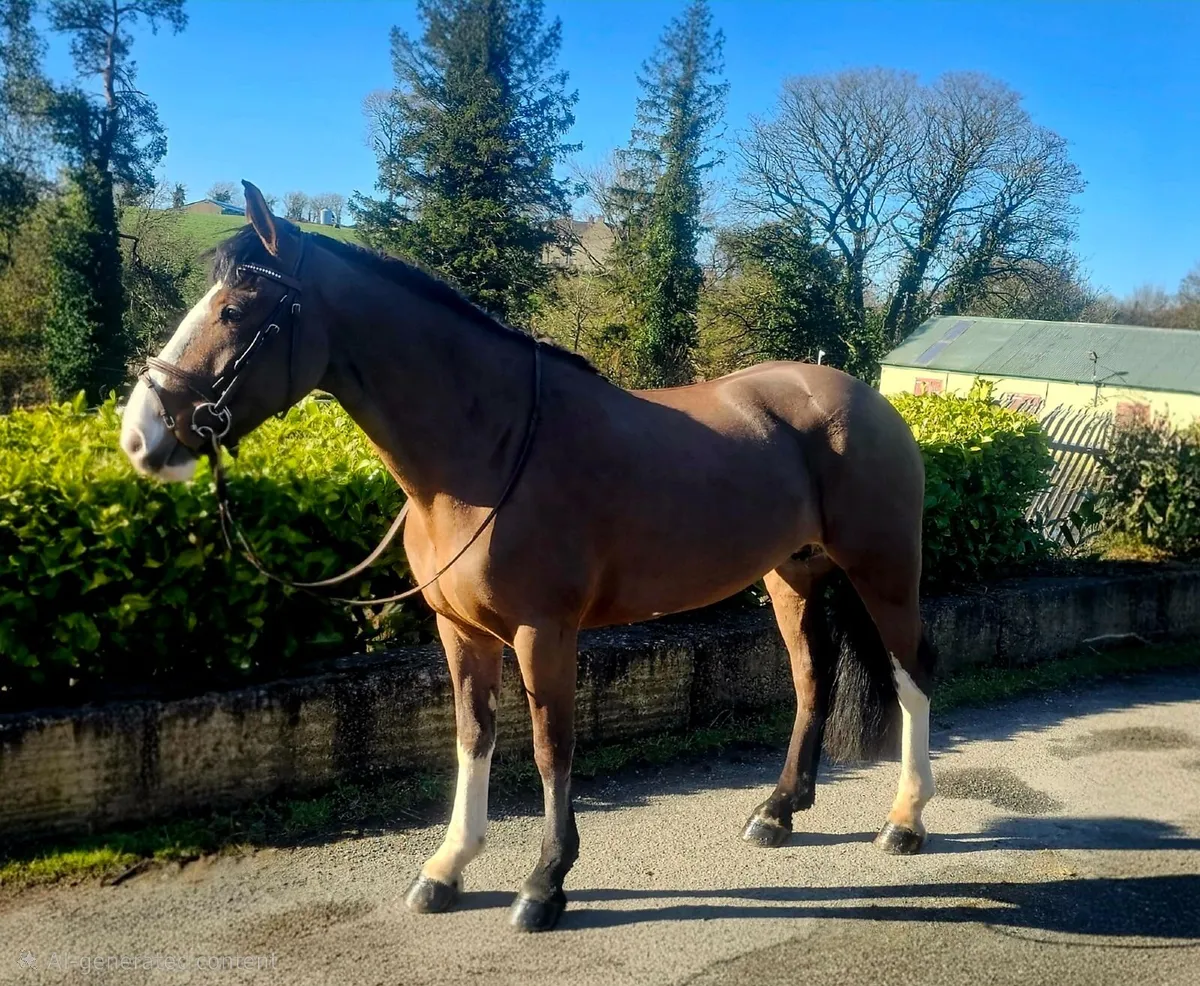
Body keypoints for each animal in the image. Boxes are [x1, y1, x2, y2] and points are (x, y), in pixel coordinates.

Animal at [119, 181, 937, 933]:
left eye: (236, 310)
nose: (140, 434)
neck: (490, 448)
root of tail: (862, 396)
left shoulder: (544, 633)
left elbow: (550, 749)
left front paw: (545, 883)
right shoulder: (460, 631)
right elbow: (473, 737)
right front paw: (447, 867)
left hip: (885, 572)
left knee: (913, 674)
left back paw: (905, 819)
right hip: (791, 575)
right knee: (811, 679)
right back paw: (778, 810)